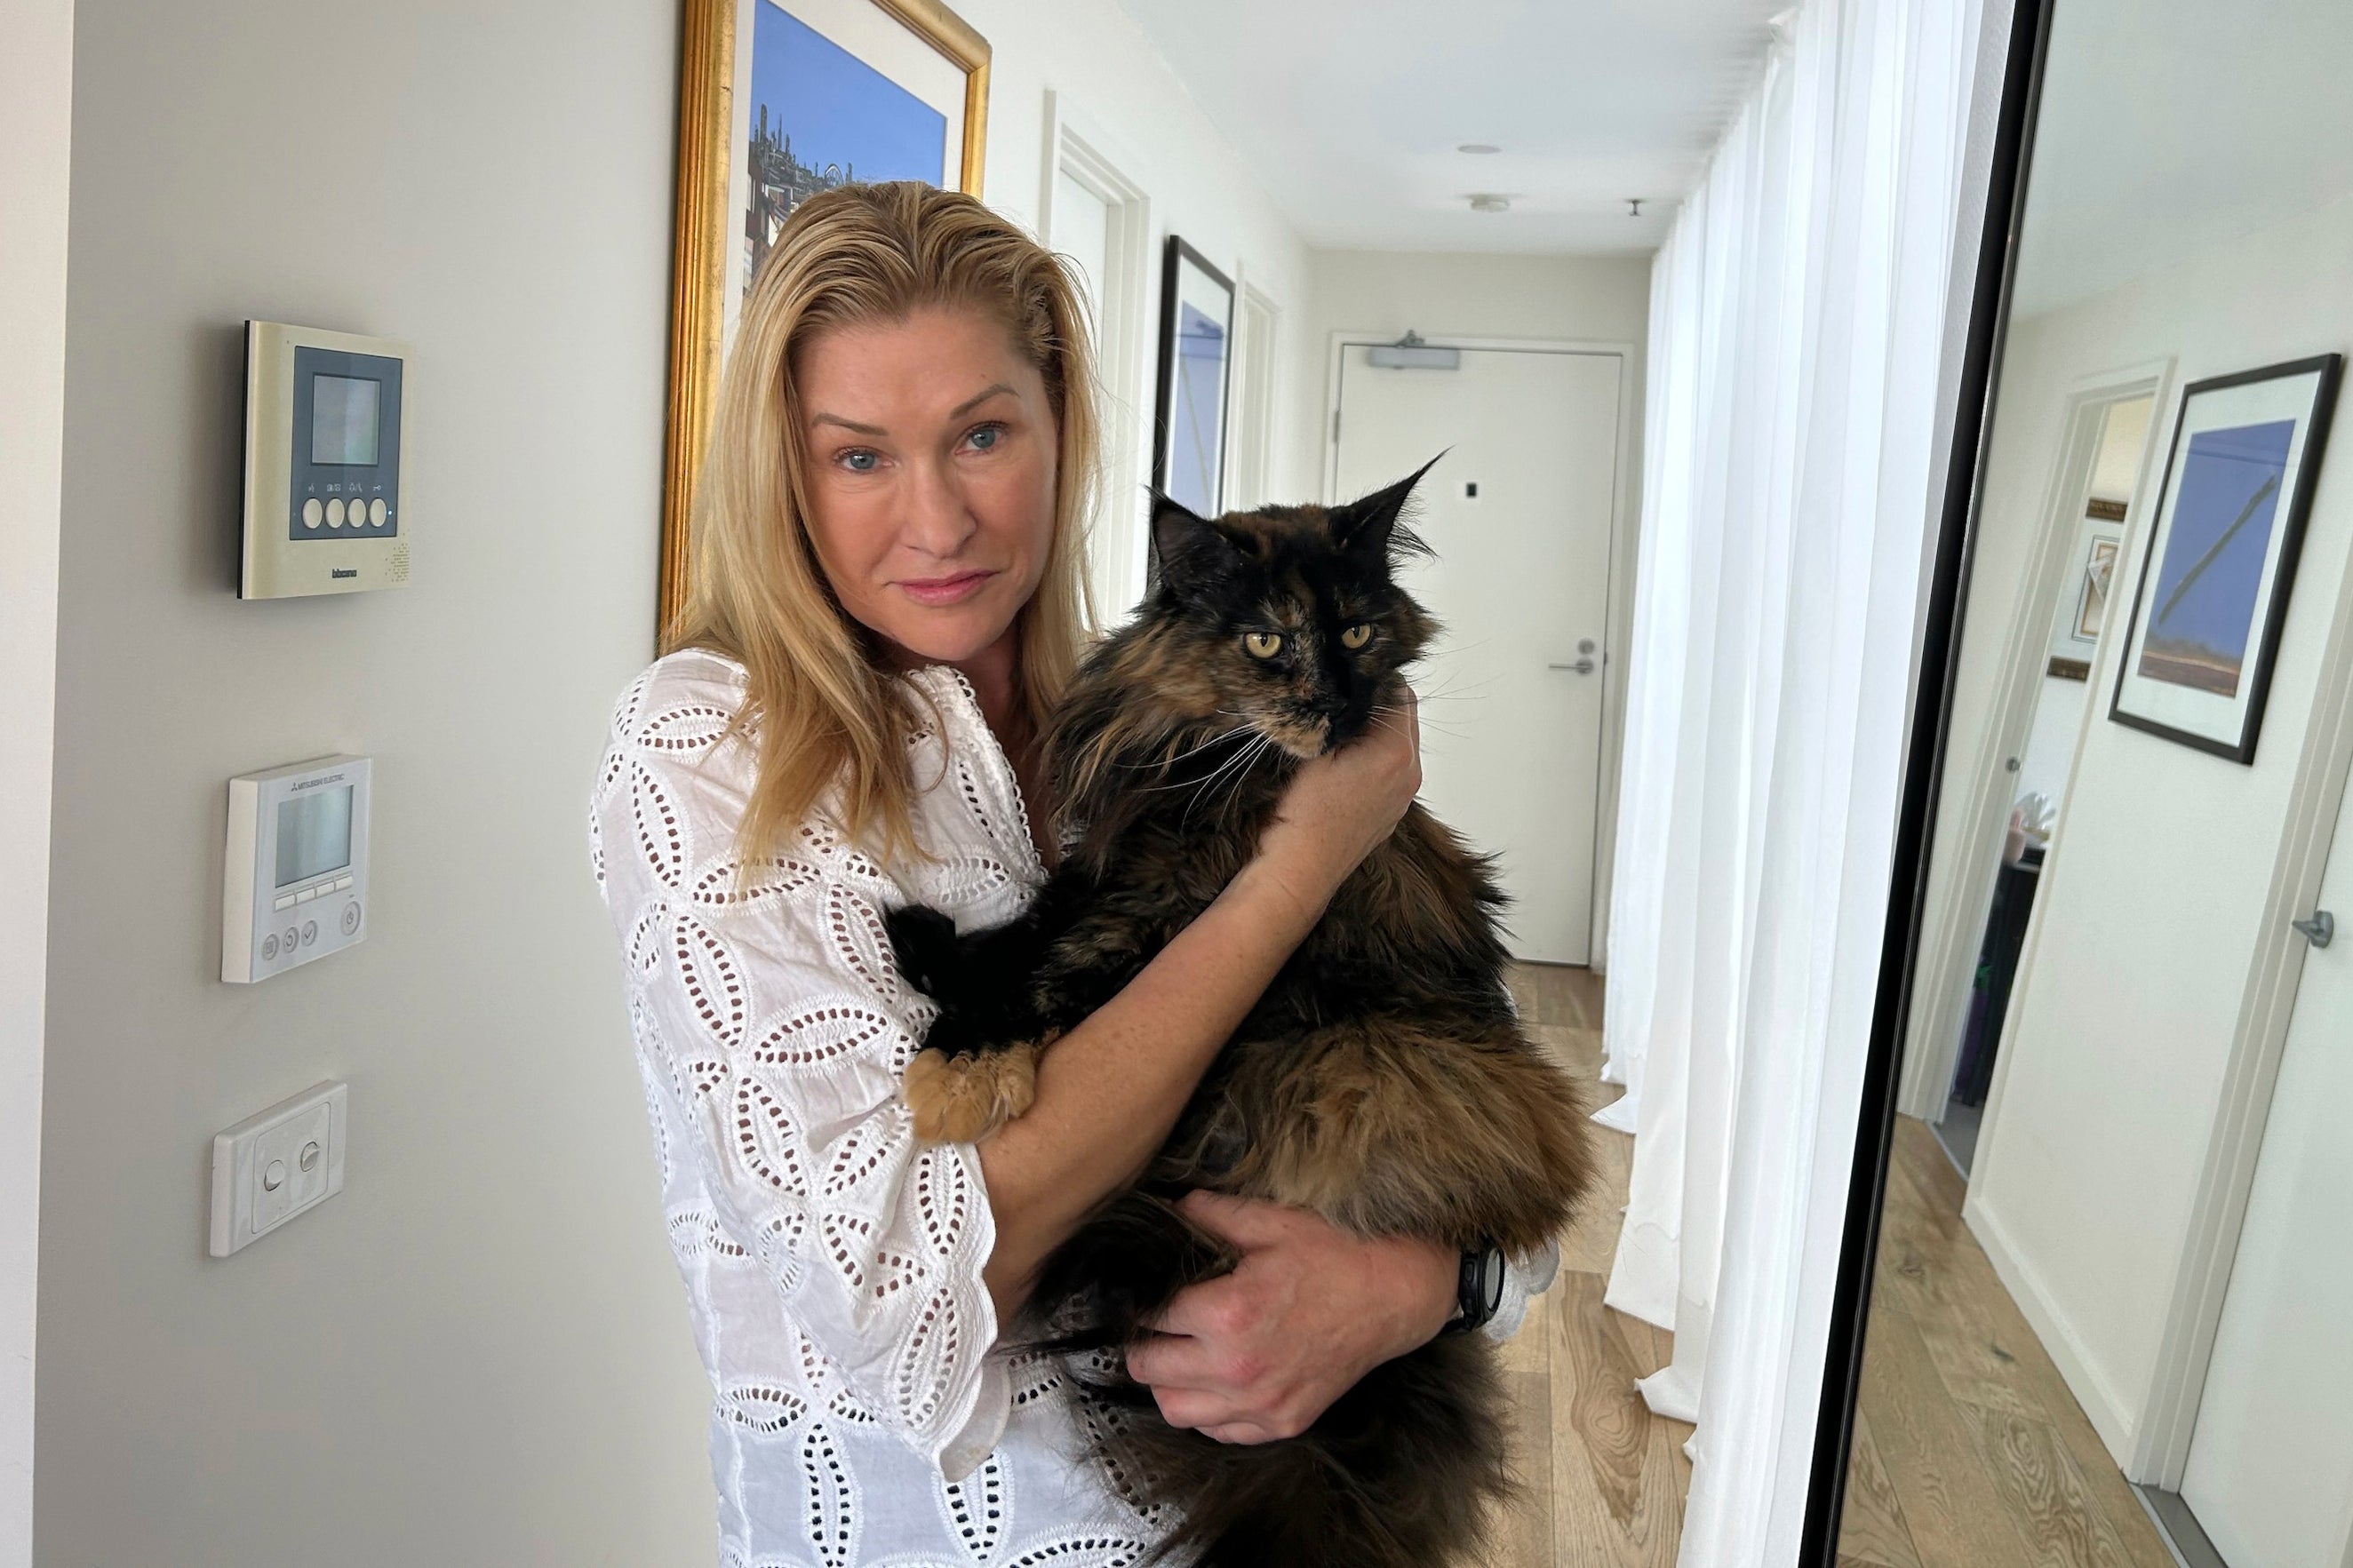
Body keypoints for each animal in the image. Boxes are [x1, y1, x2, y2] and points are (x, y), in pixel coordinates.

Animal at [884, 465, 1599, 1568]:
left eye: (1356, 632)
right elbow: (1028, 930)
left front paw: (961, 1063)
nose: (1335, 706)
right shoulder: (1114, 860)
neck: (1197, 747)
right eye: (1266, 640)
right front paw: (928, 951)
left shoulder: (1166, 898)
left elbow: (1059, 972)